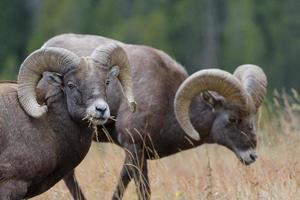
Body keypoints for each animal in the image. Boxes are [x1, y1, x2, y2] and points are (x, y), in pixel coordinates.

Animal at [42, 33, 268, 199]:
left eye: (252, 117)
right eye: (232, 119)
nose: (251, 156)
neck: (166, 100)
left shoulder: (141, 154)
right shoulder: (133, 148)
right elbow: (133, 187)